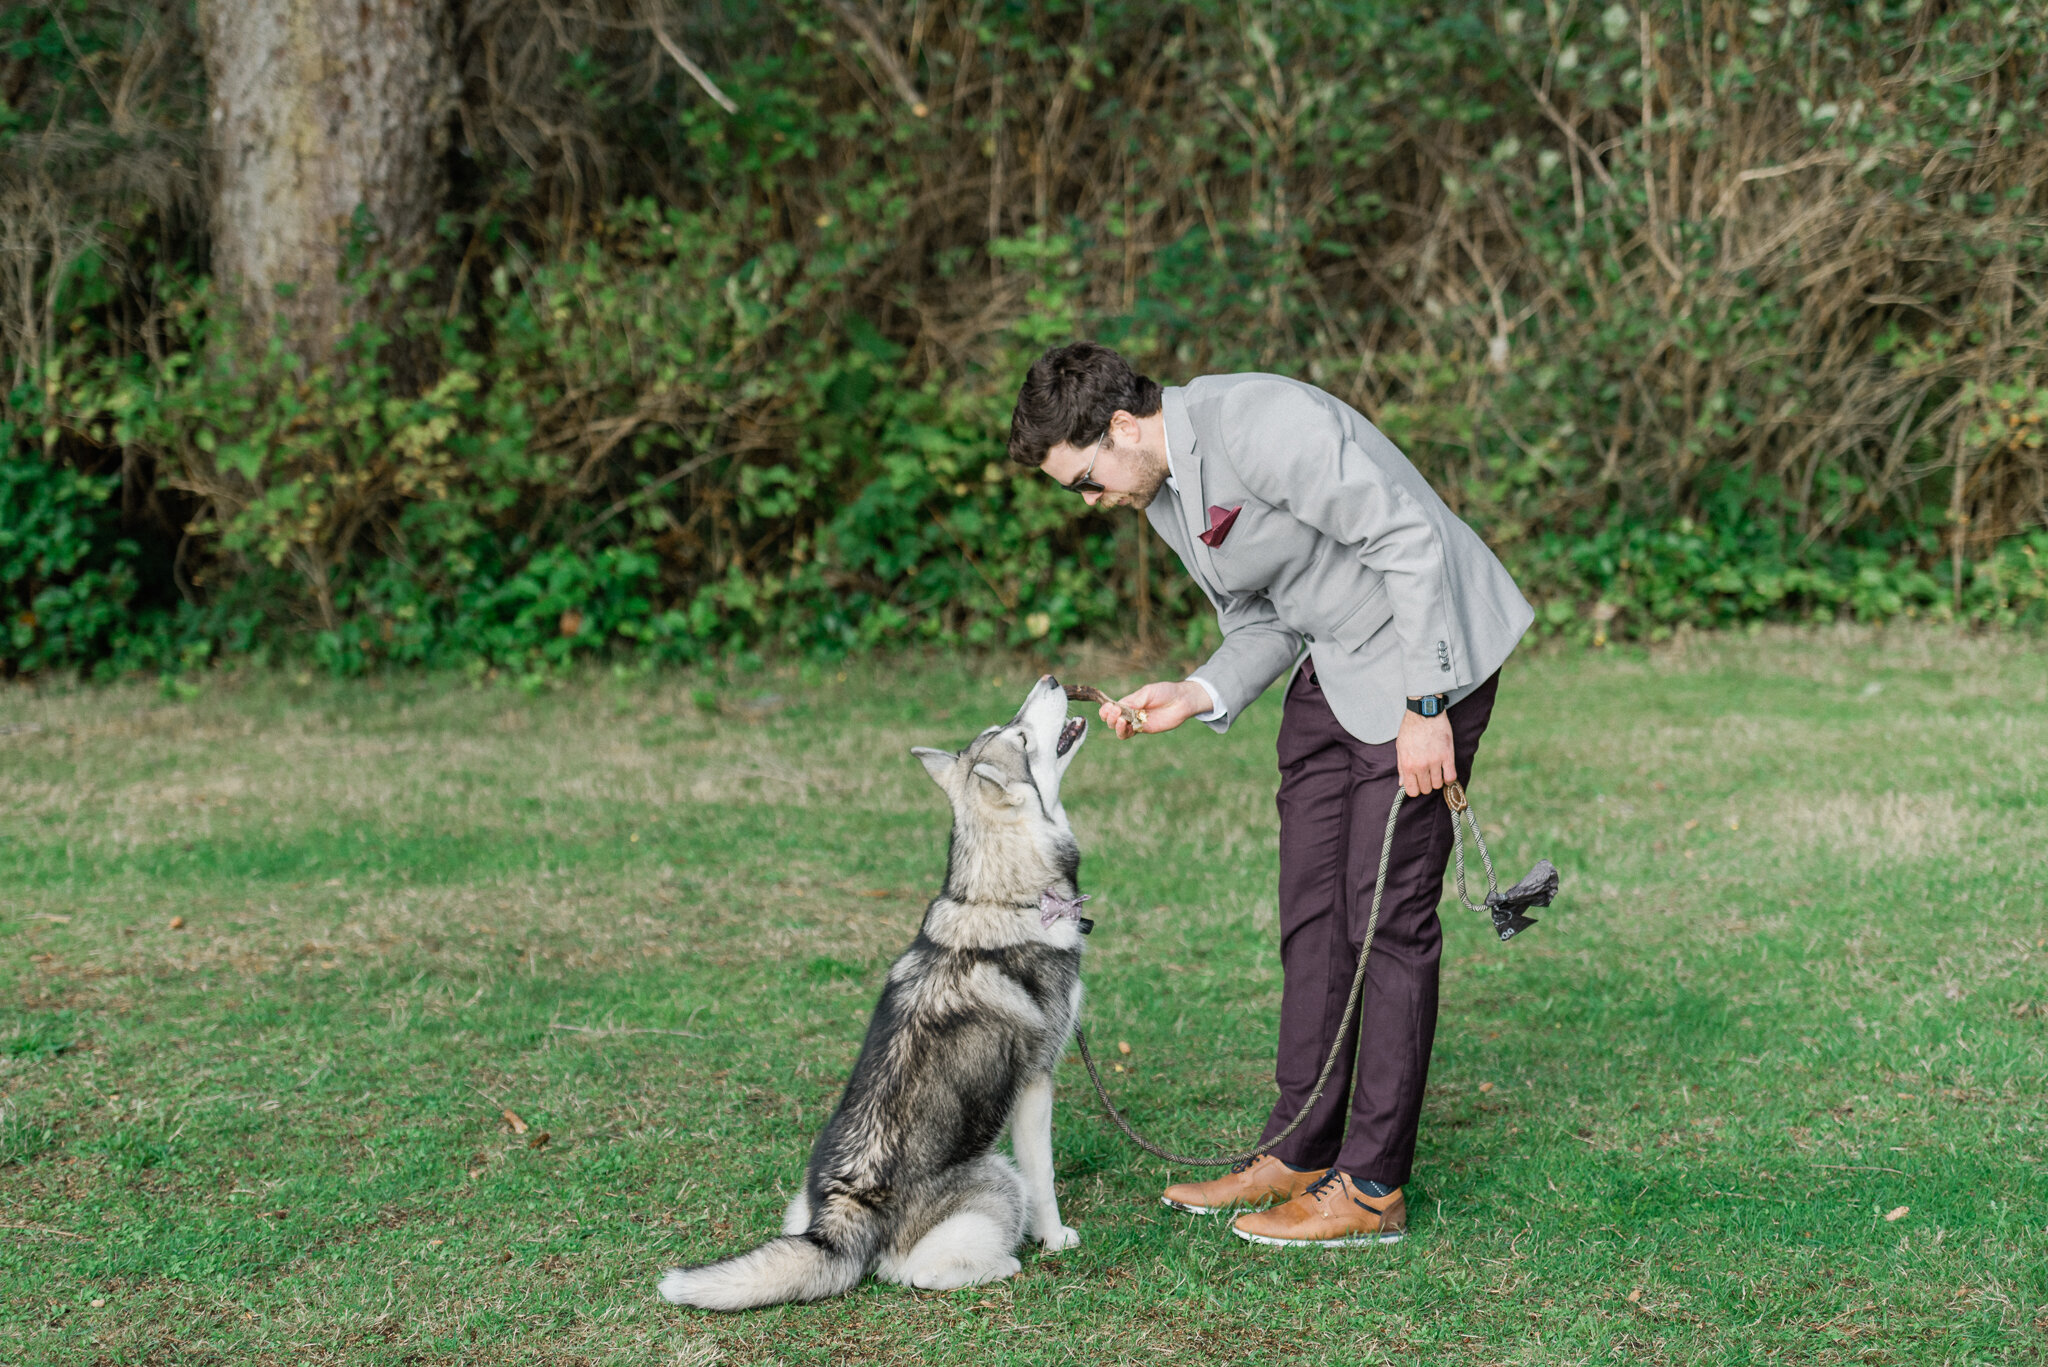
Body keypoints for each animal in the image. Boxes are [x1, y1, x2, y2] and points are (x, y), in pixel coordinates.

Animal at [663, 680, 1097, 1311]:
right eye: (1019, 736)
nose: (1051, 681)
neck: (1000, 895)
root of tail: (843, 1214)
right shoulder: (1036, 1085)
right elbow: (1045, 1180)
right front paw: (1055, 1236)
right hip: (997, 1177)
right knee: (914, 1272)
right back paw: (1004, 1263)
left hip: (801, 1205)